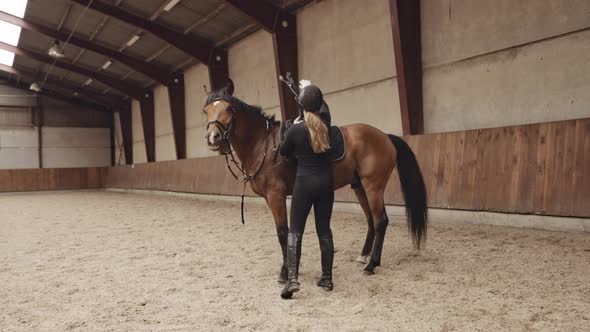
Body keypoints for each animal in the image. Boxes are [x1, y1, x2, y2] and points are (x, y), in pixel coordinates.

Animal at [201, 80, 428, 280]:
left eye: (229, 108)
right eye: (206, 111)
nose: (213, 138)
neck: (264, 146)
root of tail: (385, 136)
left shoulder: (276, 195)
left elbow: (282, 232)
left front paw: (286, 272)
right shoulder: (270, 197)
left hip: (373, 186)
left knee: (381, 221)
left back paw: (372, 264)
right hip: (359, 186)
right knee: (371, 220)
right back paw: (364, 256)